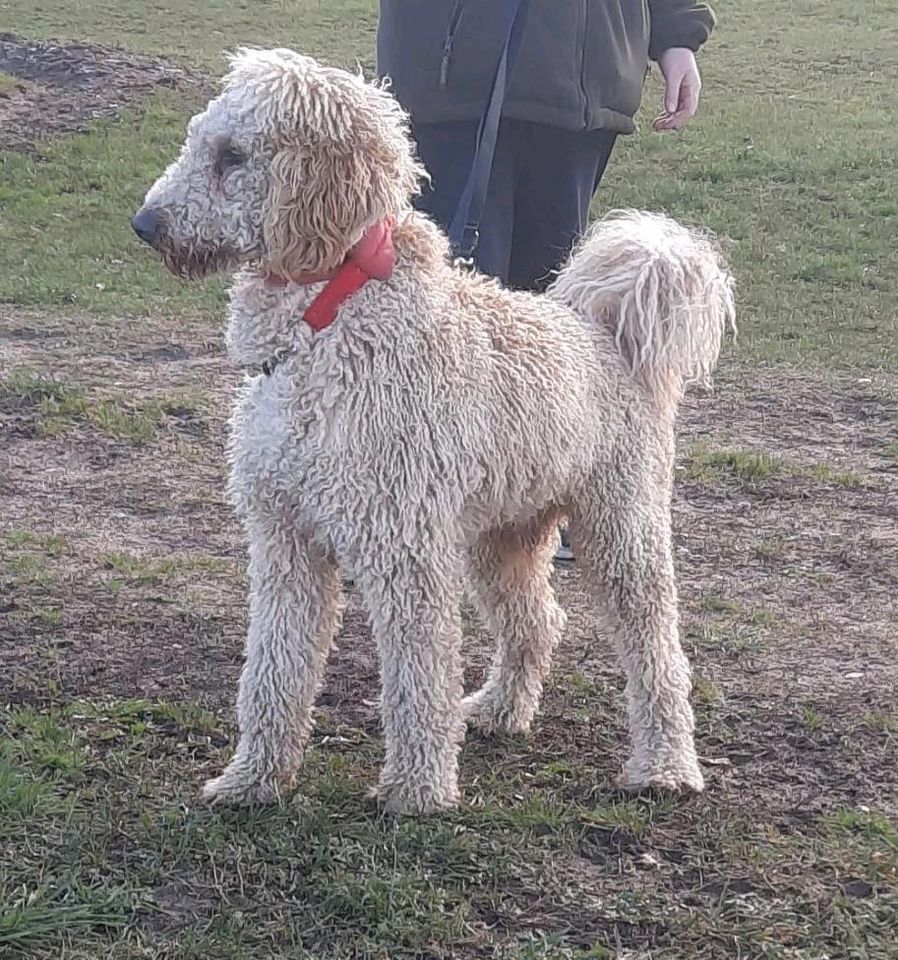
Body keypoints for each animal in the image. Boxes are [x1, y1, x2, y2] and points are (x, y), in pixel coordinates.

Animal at [135, 48, 736, 812]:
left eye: (232, 157)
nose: (144, 223)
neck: (328, 322)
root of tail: (606, 333)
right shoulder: (285, 541)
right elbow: (273, 671)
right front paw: (253, 780)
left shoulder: (405, 550)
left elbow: (418, 678)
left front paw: (417, 792)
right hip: (501, 535)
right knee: (538, 622)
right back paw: (499, 711)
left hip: (621, 528)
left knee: (657, 650)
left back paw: (665, 765)